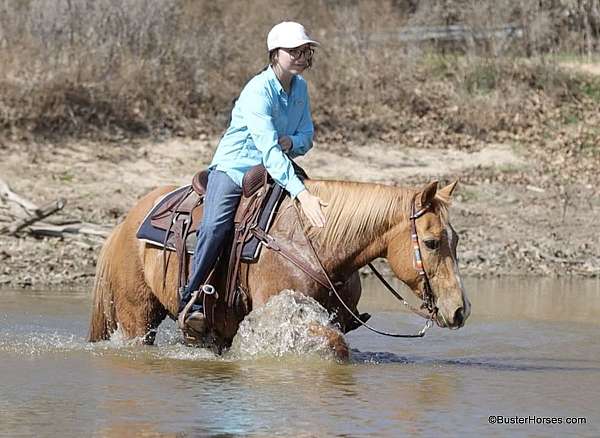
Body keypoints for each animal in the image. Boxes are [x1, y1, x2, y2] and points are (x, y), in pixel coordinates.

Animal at [89, 179, 472, 360]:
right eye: (432, 242)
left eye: (455, 239)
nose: (460, 310)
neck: (314, 243)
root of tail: (124, 224)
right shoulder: (285, 313)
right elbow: (337, 347)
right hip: (137, 316)